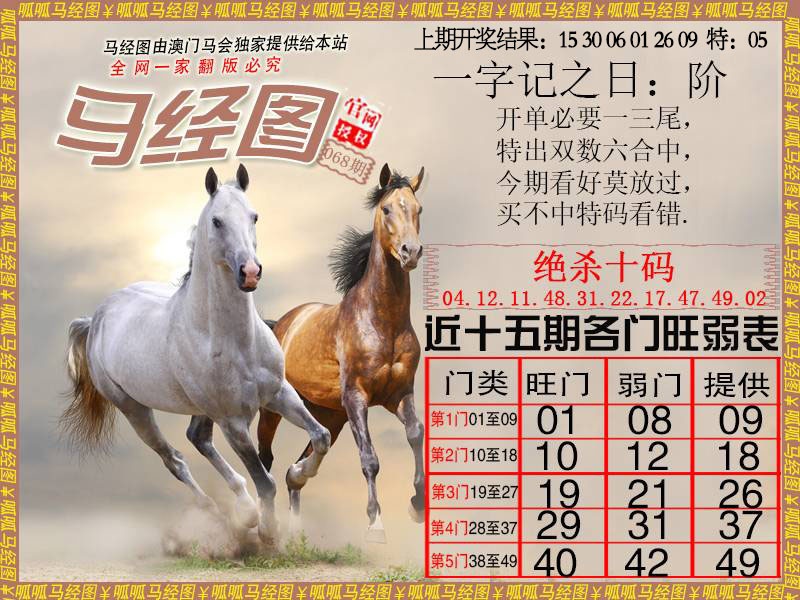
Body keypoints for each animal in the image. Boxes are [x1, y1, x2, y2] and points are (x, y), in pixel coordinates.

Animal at [63, 165, 331, 543]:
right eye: (217, 221)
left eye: (254, 216)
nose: (250, 272)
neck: (235, 341)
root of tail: (96, 317)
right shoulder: (233, 422)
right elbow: (265, 480)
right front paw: (268, 531)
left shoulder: (278, 393)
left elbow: (320, 437)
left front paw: (298, 474)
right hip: (134, 409)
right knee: (174, 459)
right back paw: (225, 516)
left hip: (200, 409)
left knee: (197, 438)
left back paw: (243, 509)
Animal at [256, 163, 425, 543]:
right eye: (386, 209)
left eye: (418, 209)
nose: (410, 252)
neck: (382, 321)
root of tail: (280, 324)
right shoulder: (357, 397)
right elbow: (370, 458)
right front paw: (376, 525)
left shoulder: (399, 395)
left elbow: (415, 434)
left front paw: (417, 505)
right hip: (275, 409)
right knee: (265, 458)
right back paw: (264, 524)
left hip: (329, 414)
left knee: (298, 465)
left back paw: (297, 510)